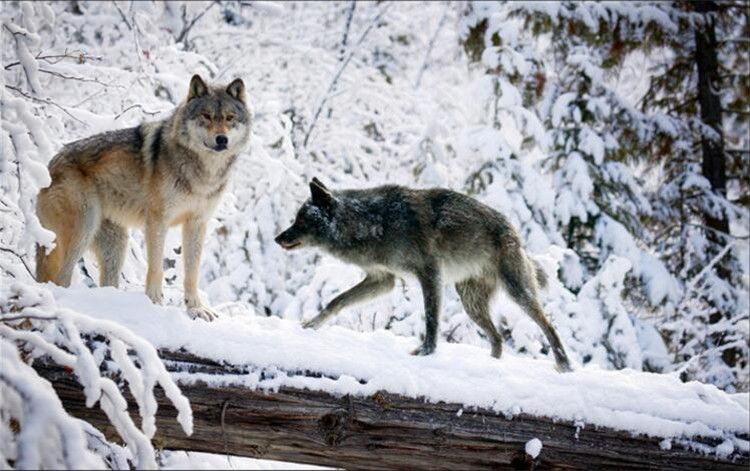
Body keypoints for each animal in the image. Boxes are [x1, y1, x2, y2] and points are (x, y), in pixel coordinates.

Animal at [36, 74, 251, 321]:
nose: (221, 139)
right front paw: (155, 302)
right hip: (83, 229)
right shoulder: (157, 221)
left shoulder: (197, 223)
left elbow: (192, 272)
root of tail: (49, 166)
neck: (203, 172)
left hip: (116, 244)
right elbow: (156, 267)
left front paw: (196, 308)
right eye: (206, 116)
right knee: (62, 277)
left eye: (230, 118)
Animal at [275, 178, 573, 372]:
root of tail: (514, 231)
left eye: (301, 221)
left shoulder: (429, 273)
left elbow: (431, 318)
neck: (373, 222)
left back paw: (564, 365)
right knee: (498, 337)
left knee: (548, 325)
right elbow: (336, 301)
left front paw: (425, 352)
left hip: (517, 294)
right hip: (471, 305)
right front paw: (311, 326)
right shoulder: (383, 280)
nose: (278, 238)